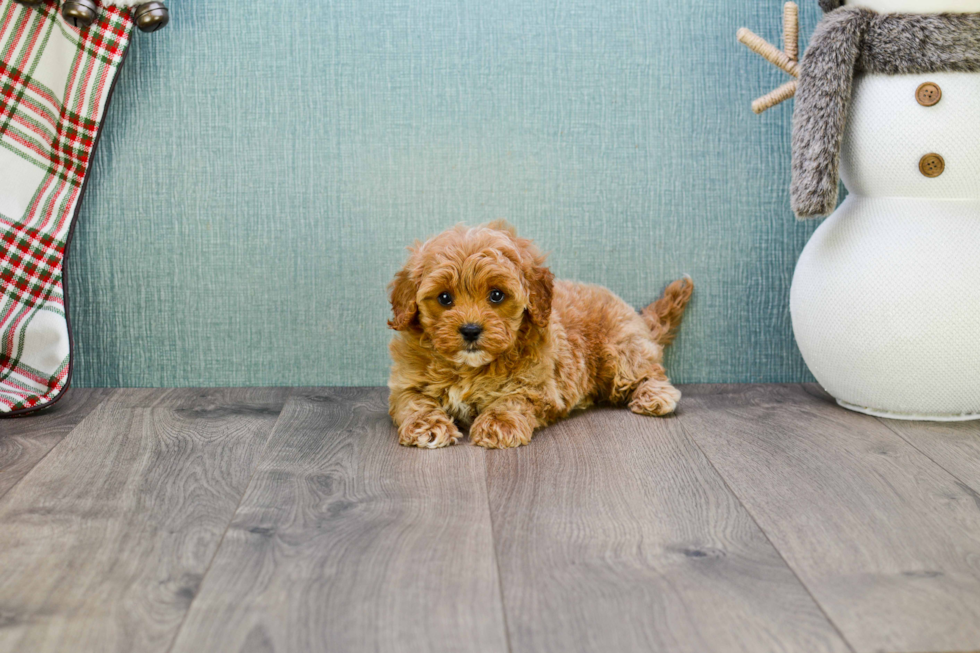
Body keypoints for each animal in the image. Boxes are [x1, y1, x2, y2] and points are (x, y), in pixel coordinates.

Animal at [386, 220, 692, 448]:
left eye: (496, 295)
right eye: (444, 298)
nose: (471, 330)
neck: (469, 368)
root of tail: (636, 315)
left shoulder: (535, 386)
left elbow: (513, 399)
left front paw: (498, 422)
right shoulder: (407, 383)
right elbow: (414, 402)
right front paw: (428, 426)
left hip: (622, 349)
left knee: (647, 371)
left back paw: (655, 396)